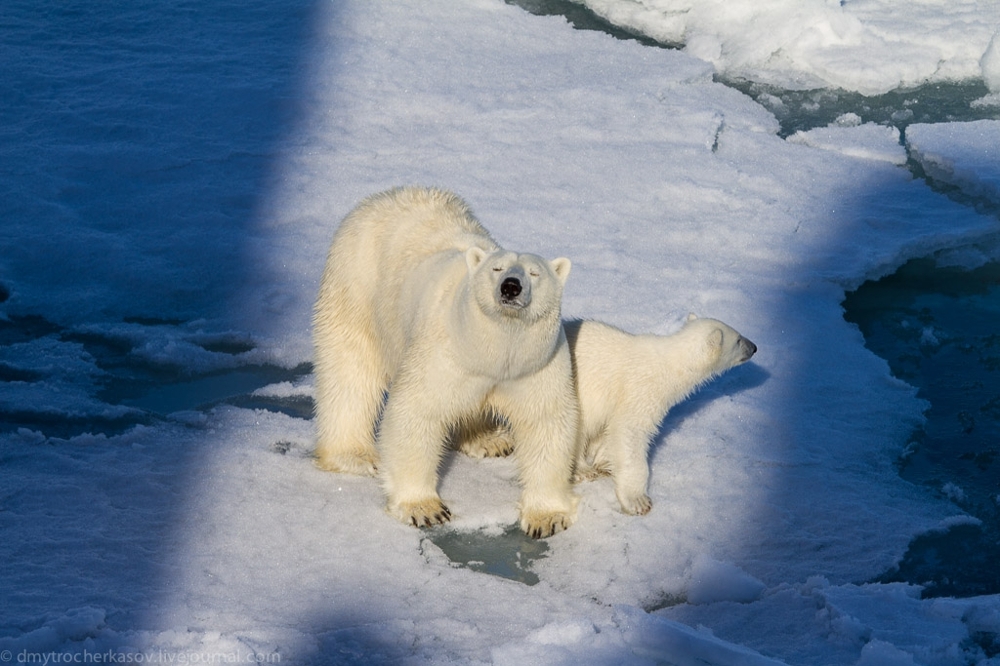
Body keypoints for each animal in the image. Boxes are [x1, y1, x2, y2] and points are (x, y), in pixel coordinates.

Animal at [312, 185, 580, 536]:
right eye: (496, 268)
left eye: (535, 273)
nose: (511, 286)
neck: (493, 352)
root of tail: (388, 194)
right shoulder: (442, 353)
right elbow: (416, 411)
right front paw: (425, 509)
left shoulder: (536, 365)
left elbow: (546, 421)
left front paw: (546, 517)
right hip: (356, 283)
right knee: (350, 370)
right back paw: (355, 455)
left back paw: (490, 440)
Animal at [568, 312, 752, 512]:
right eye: (738, 340)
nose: (754, 347)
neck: (670, 365)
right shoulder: (642, 390)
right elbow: (629, 430)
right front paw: (638, 500)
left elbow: (611, 432)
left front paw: (605, 462)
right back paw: (582, 470)